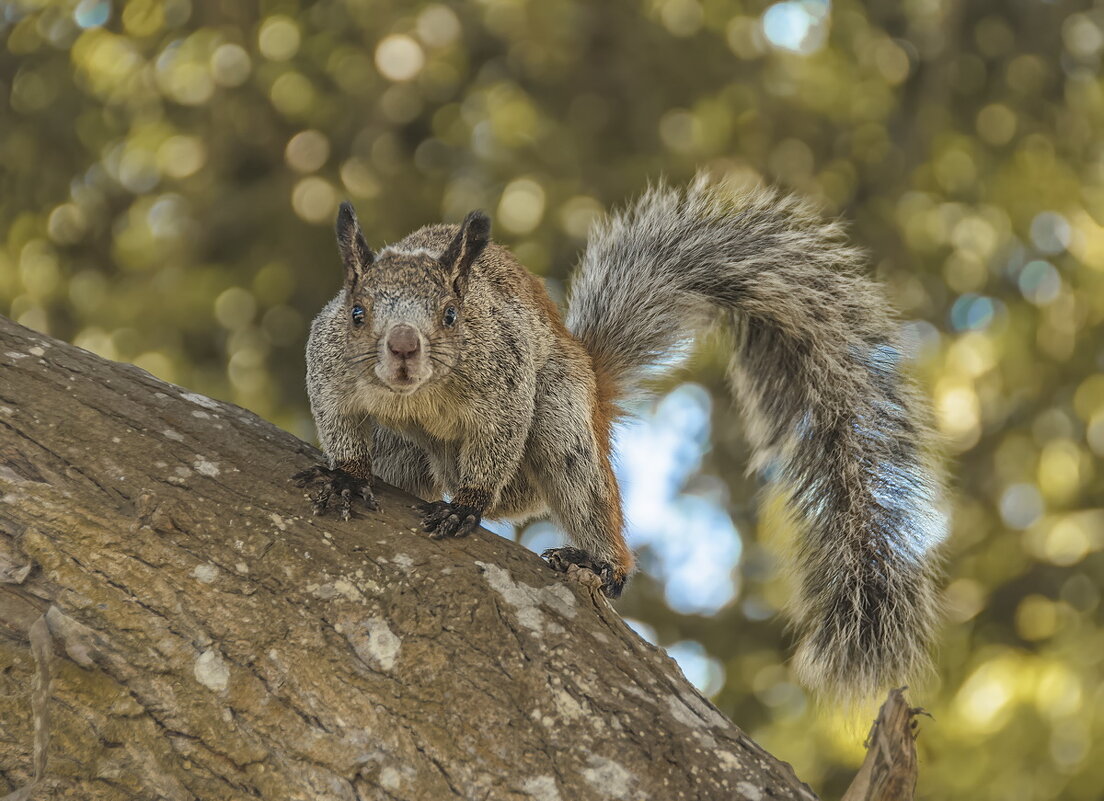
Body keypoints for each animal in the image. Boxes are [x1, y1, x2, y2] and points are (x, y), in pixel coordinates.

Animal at [295, 177, 949, 701]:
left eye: (451, 314)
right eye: (357, 312)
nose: (404, 347)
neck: (415, 394)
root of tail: (591, 377)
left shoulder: (505, 382)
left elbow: (498, 437)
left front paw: (466, 509)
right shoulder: (330, 367)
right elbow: (339, 421)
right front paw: (346, 477)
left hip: (561, 417)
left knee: (581, 487)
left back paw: (598, 560)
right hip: (409, 452)